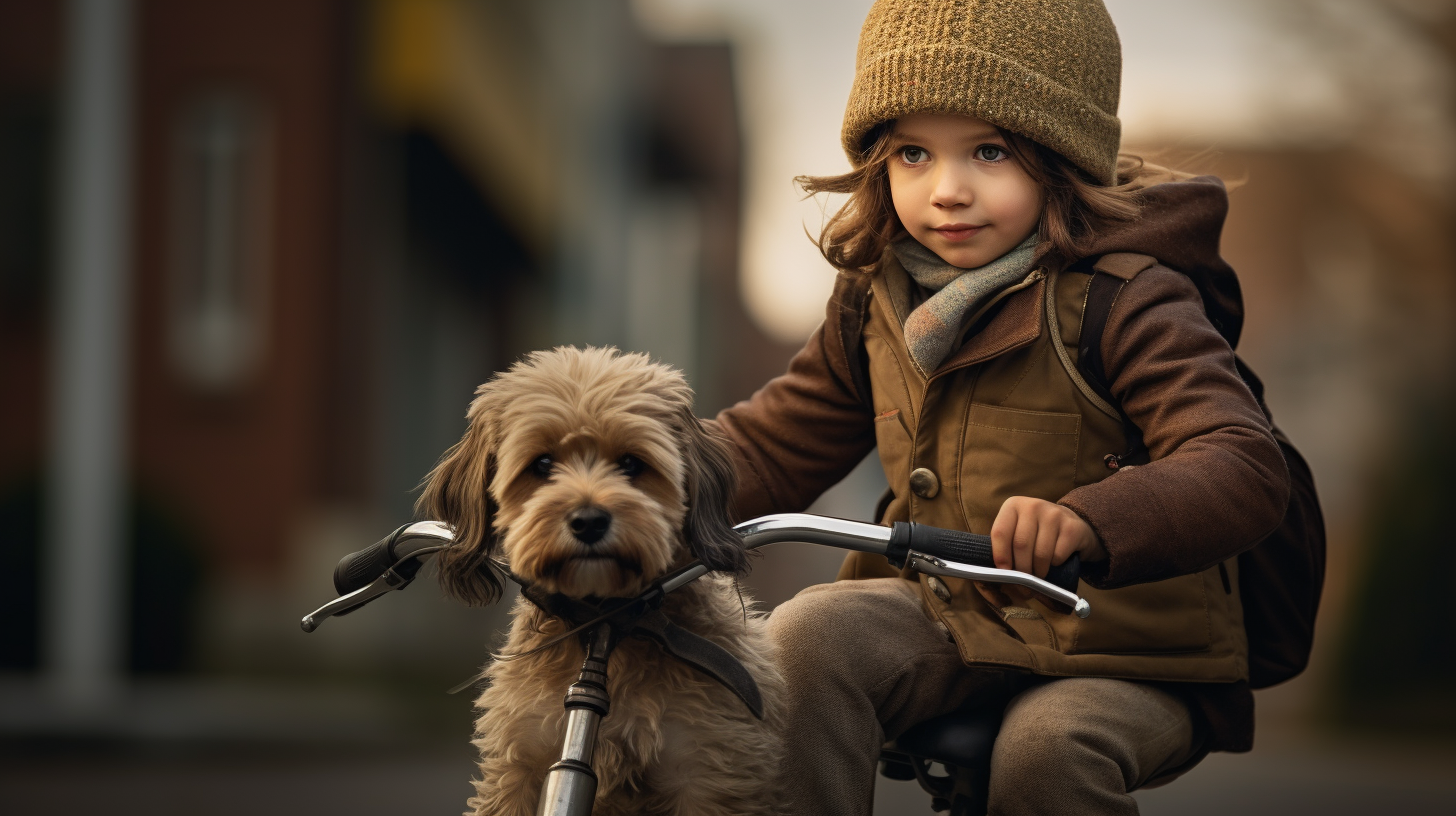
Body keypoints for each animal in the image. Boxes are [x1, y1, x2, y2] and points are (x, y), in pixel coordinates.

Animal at [419, 345, 786, 816]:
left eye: (631, 464)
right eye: (542, 464)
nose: (589, 521)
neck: (606, 632)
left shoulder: (710, 769)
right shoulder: (520, 759)